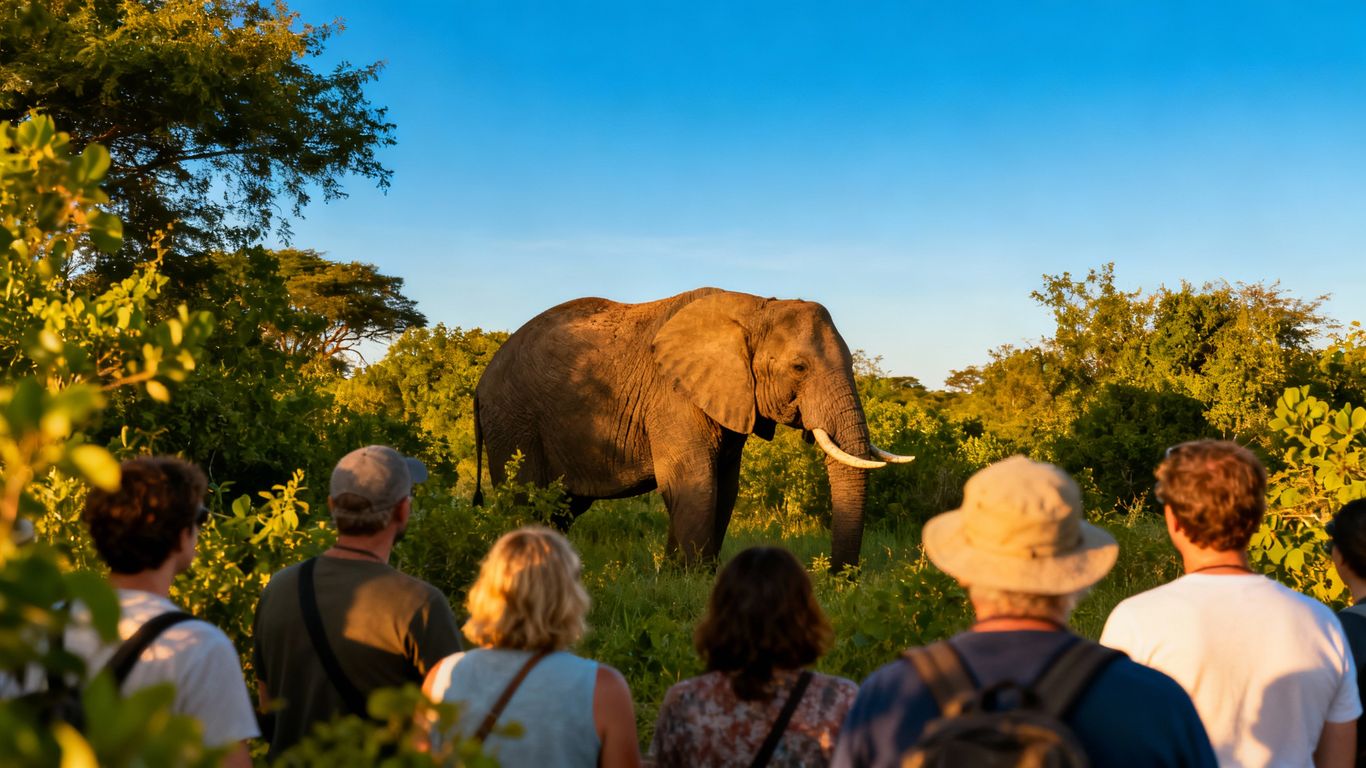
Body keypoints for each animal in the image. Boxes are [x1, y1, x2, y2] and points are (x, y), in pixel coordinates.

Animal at [472, 287, 912, 570]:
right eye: (799, 368)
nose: (839, 578)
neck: (756, 307)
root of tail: (480, 383)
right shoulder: (673, 396)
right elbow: (695, 481)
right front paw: (691, 580)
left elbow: (725, 487)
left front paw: (683, 575)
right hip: (513, 421)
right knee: (526, 501)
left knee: (561, 508)